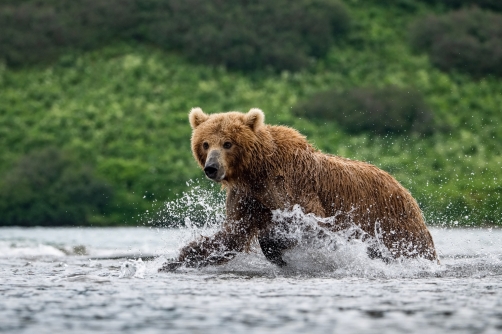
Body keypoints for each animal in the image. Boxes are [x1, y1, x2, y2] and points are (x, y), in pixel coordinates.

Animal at [160, 108, 436, 270]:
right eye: (205, 143)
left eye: (228, 143)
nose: (212, 168)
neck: (257, 171)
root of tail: (403, 187)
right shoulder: (247, 197)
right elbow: (231, 235)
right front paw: (174, 260)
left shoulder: (294, 186)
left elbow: (310, 225)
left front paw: (276, 249)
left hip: (393, 222)